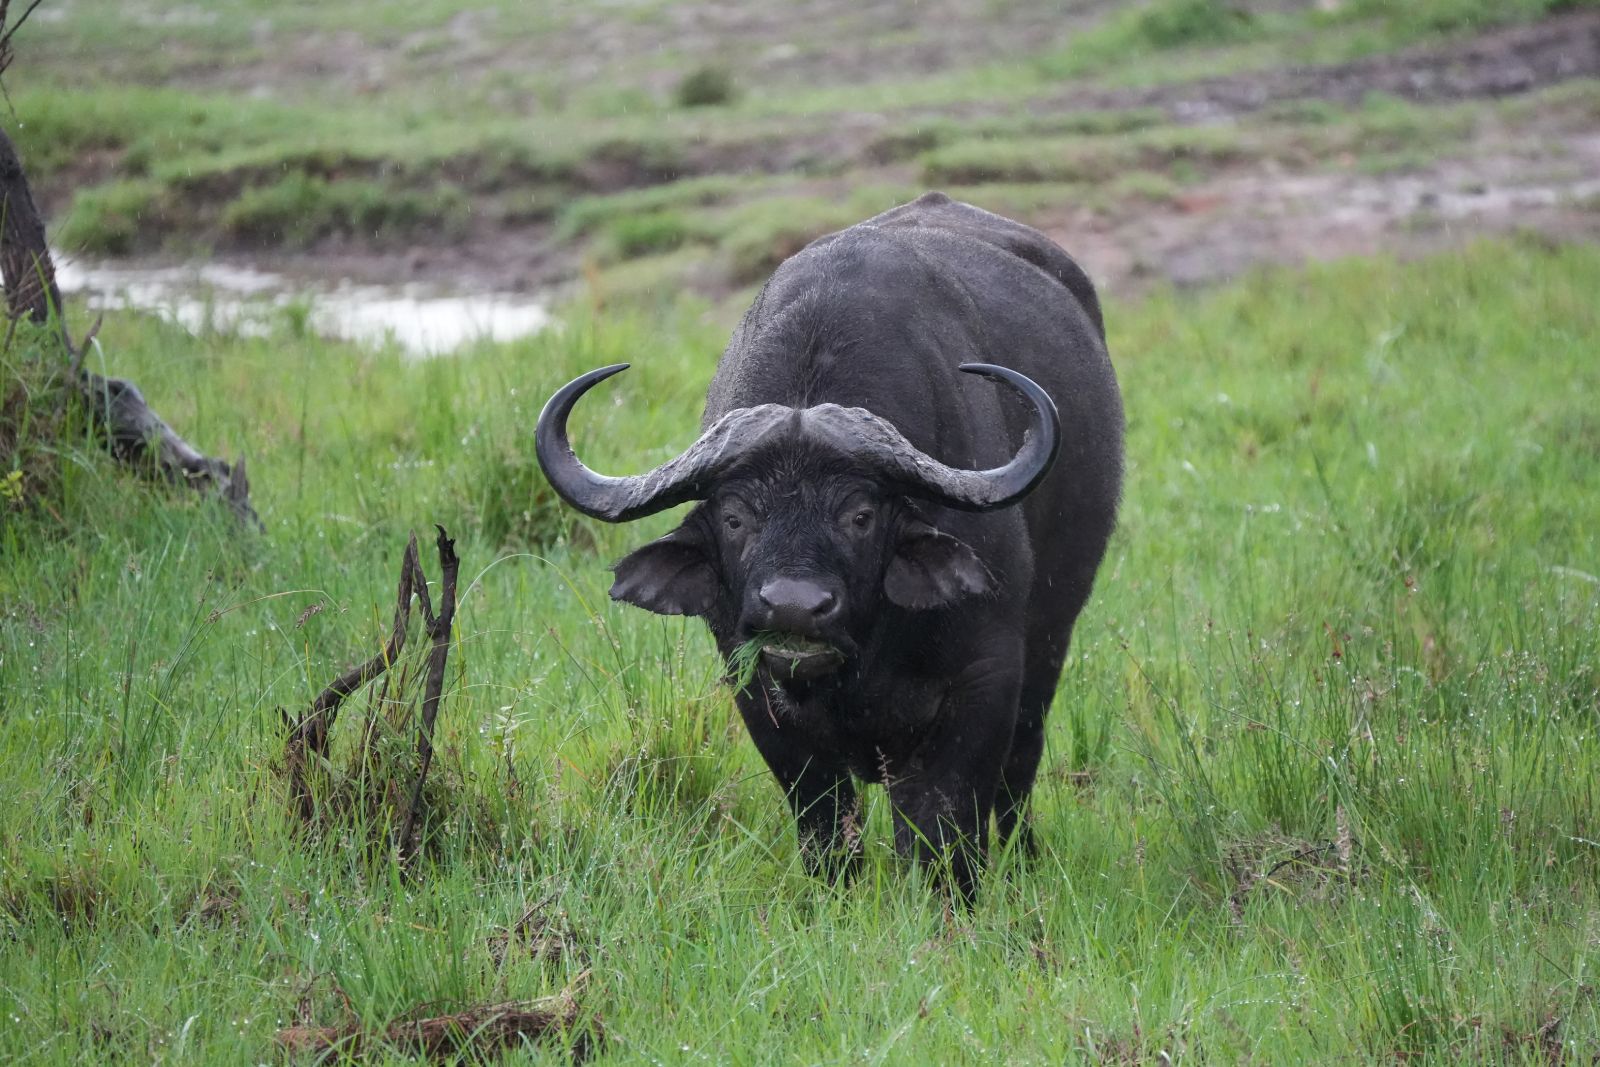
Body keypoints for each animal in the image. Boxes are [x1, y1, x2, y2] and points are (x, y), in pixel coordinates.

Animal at [536, 192, 1123, 898]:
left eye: (861, 515)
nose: (794, 607)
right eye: (735, 517)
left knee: (1021, 764)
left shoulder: (986, 676)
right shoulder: (755, 688)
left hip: (1053, 634)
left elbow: (946, 820)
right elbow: (823, 816)